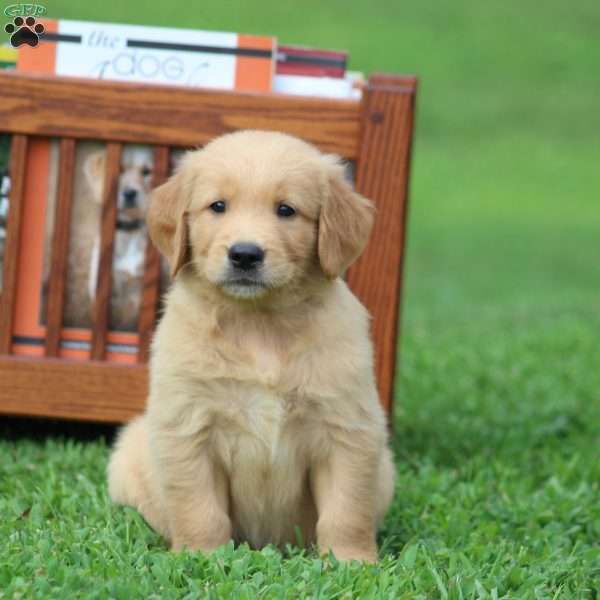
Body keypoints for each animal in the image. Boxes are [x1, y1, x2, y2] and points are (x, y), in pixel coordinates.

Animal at [108, 129, 396, 560]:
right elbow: (200, 508)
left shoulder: (348, 428)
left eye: (286, 210)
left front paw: (352, 562)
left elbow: (346, 510)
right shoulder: (188, 428)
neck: (259, 323)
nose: (245, 254)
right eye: (218, 206)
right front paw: (201, 557)